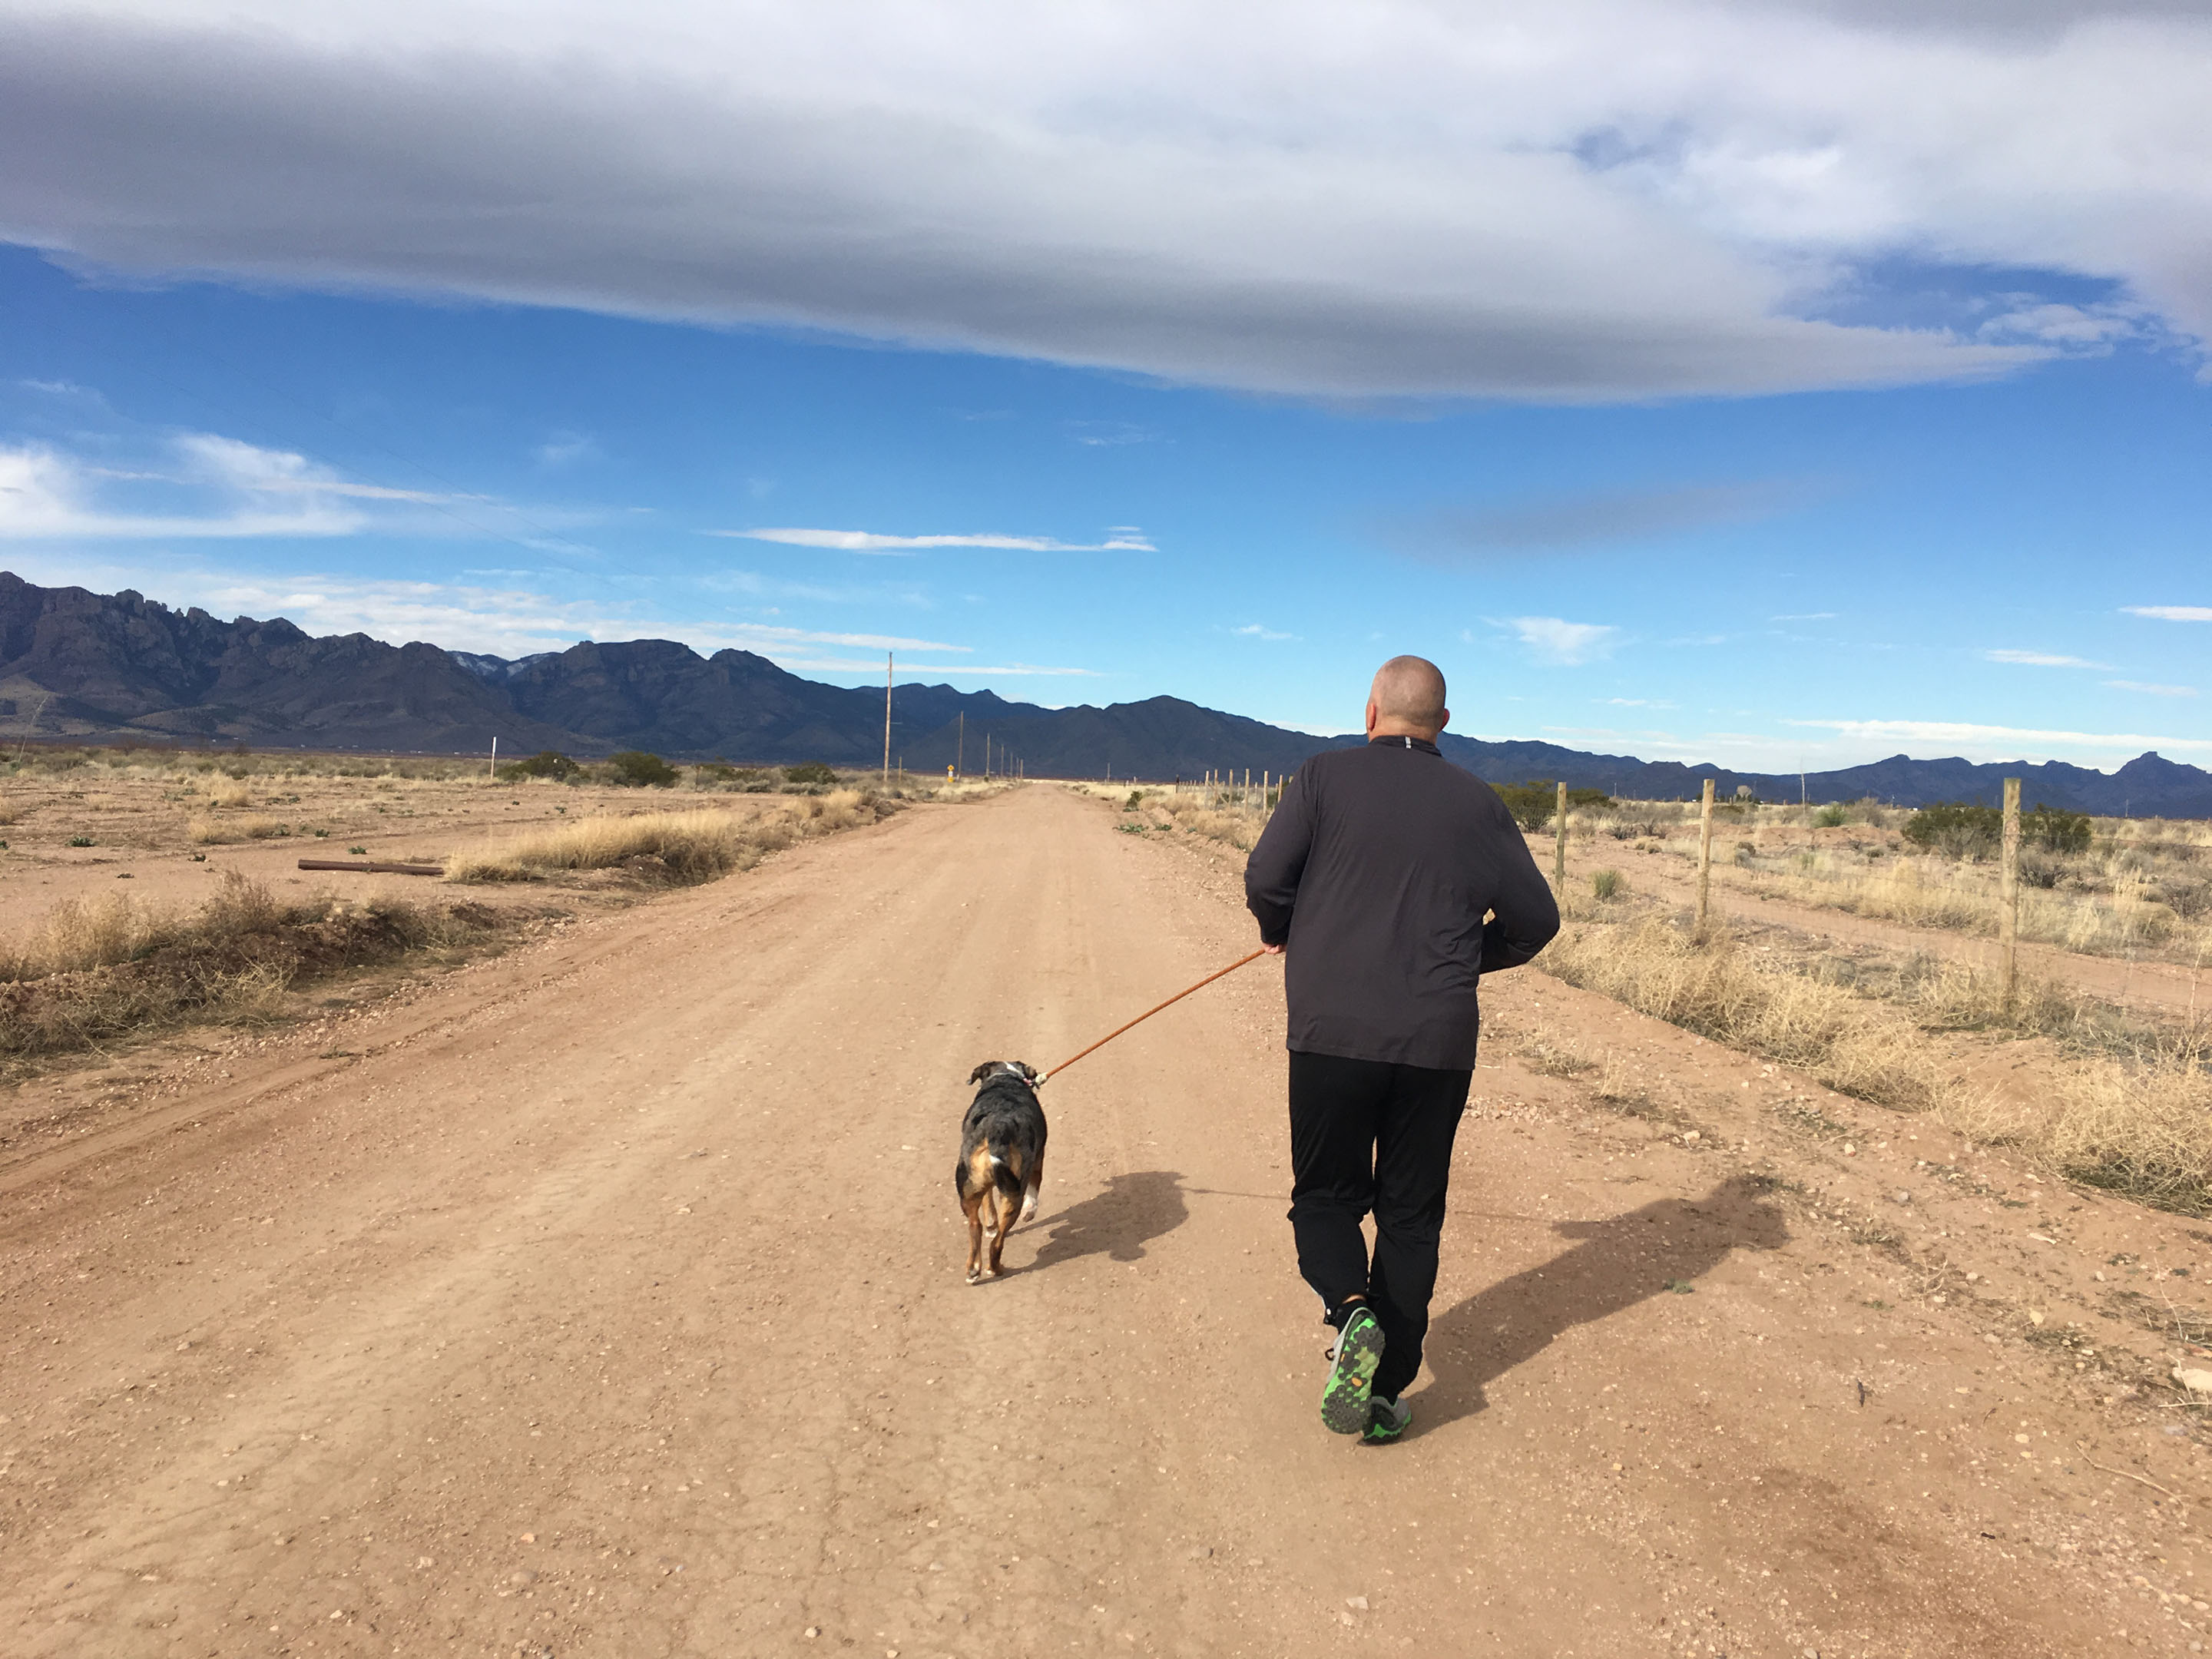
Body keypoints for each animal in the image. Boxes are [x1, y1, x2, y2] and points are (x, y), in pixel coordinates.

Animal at [955, 1066, 1048, 1283]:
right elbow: (1034, 1194)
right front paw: (1030, 1212)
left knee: (975, 1226)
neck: (1006, 1077)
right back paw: (996, 1269)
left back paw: (973, 1270)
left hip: (968, 1189)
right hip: (1014, 1194)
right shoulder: (1038, 1161)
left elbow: (988, 1203)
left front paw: (991, 1225)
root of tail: (997, 1130)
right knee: (997, 1244)